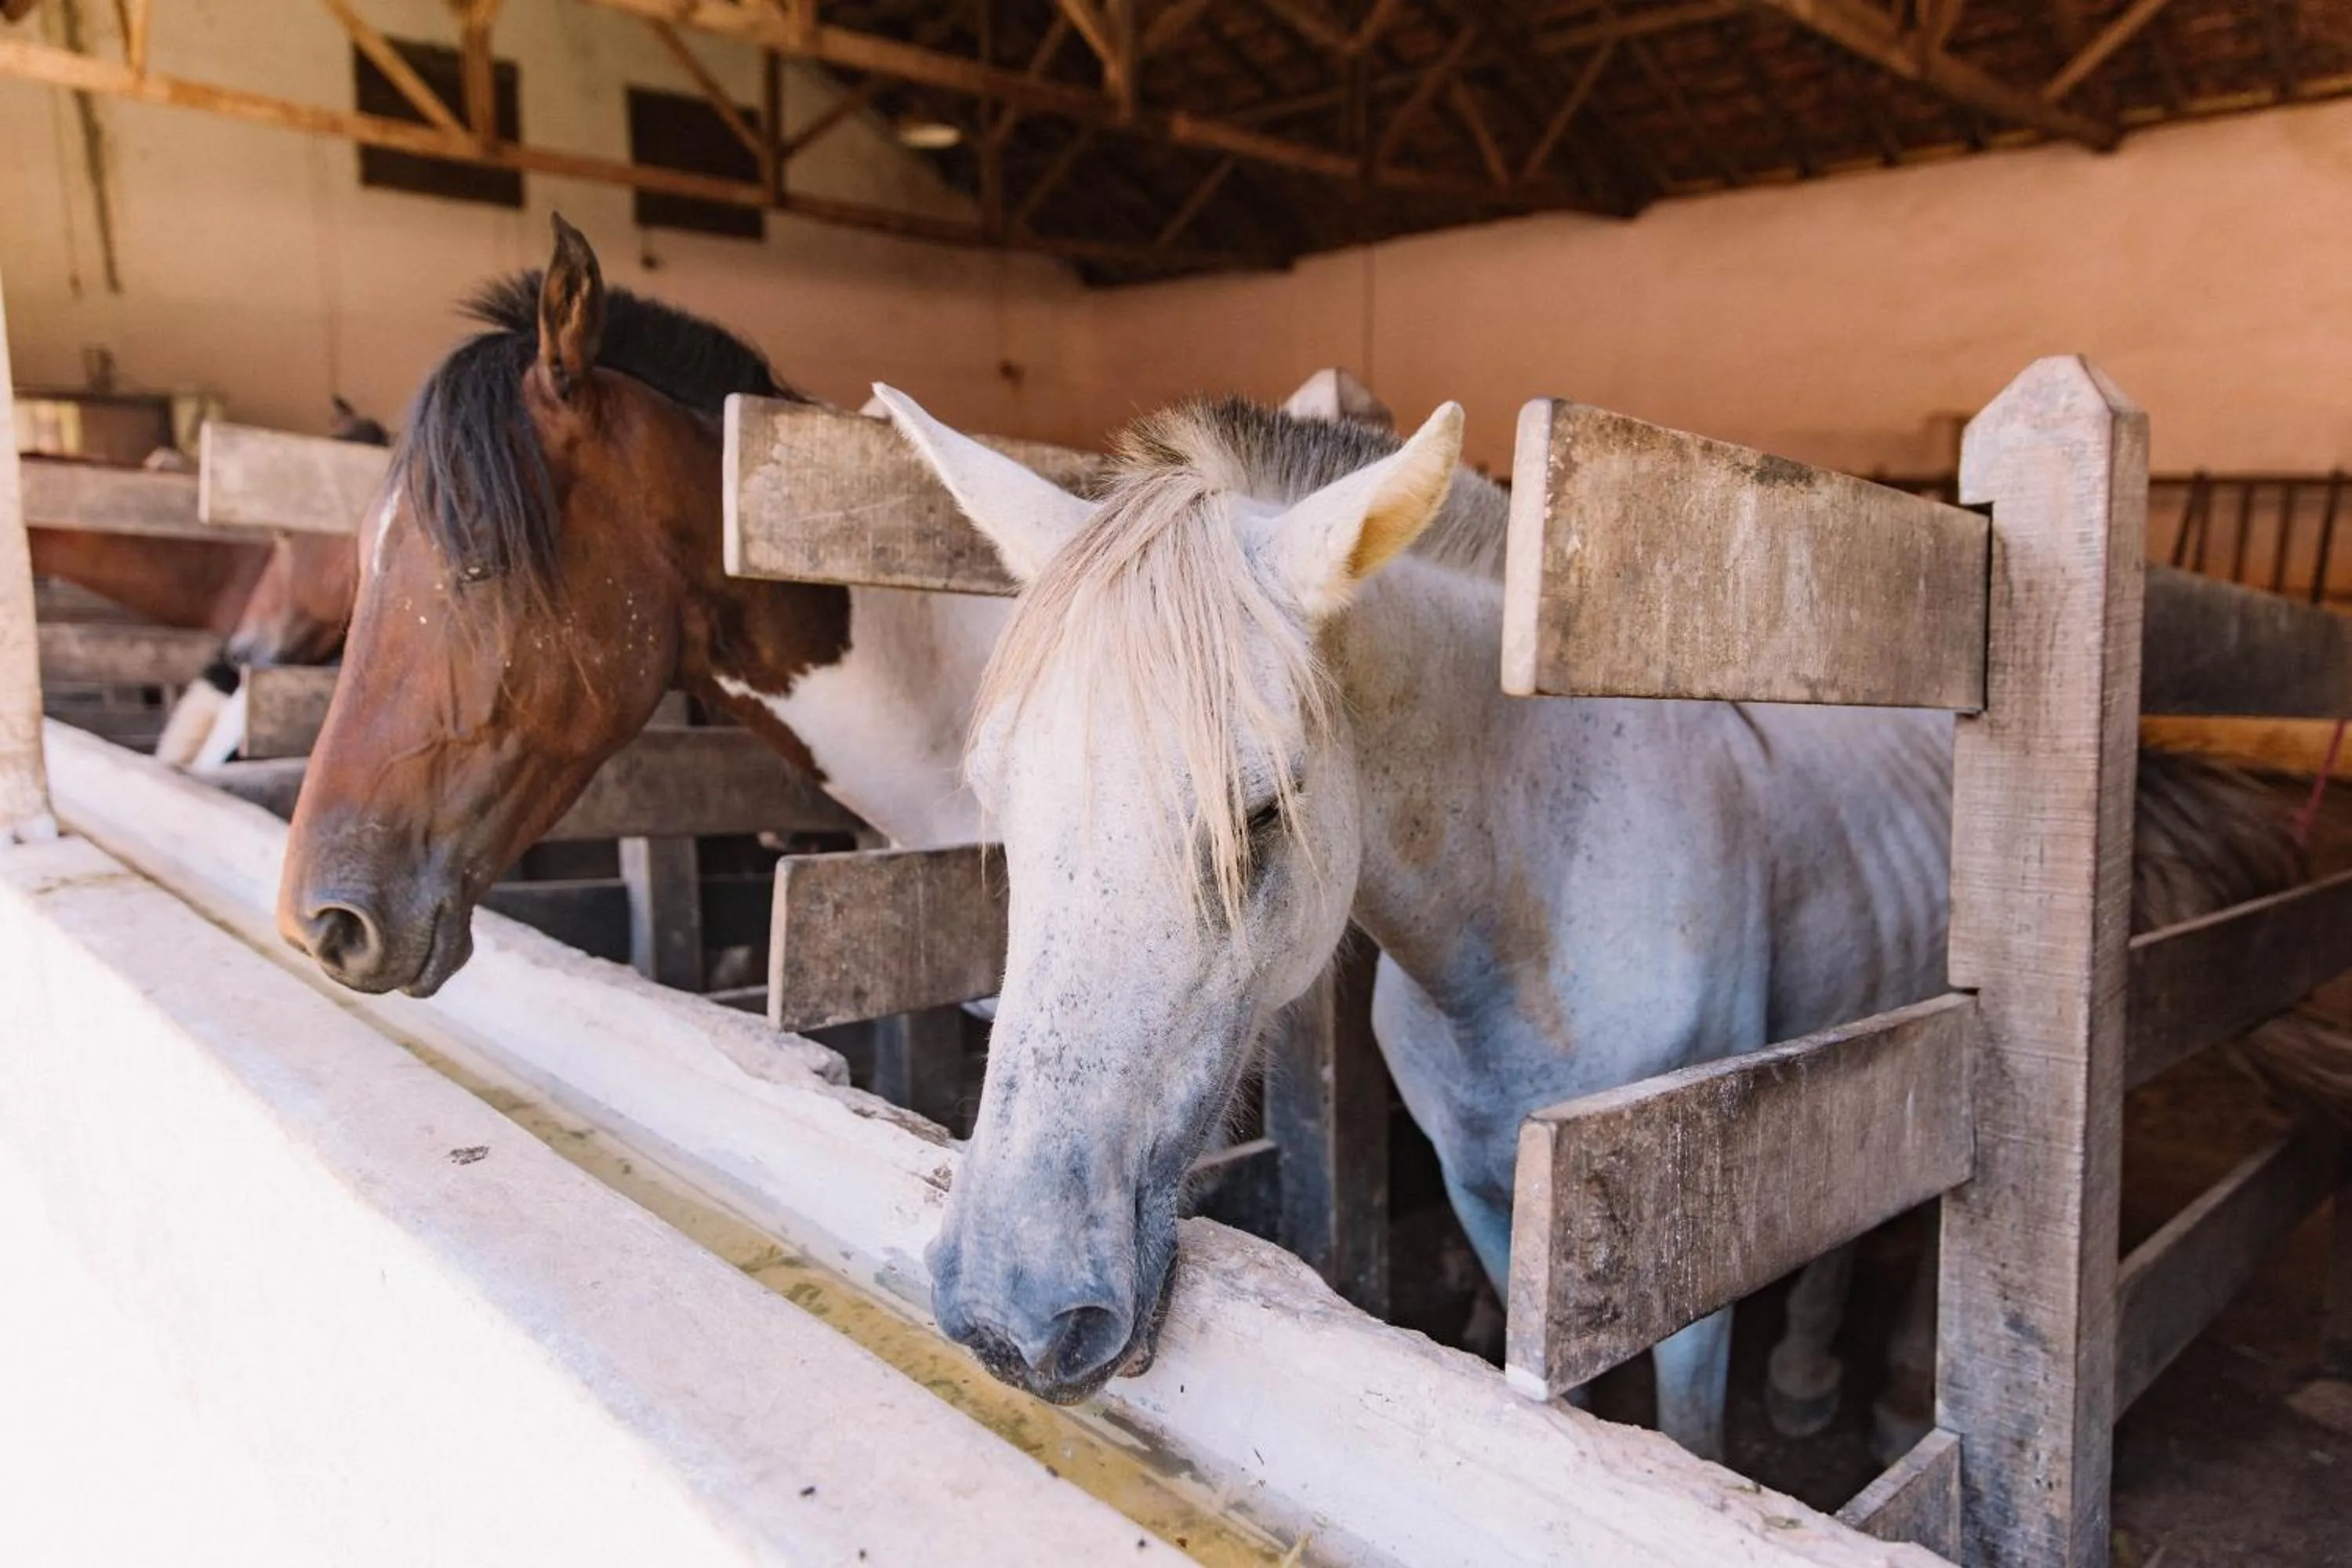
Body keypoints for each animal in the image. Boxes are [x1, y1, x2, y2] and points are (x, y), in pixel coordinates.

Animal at [870, 385, 2352, 1457]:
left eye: (1263, 809)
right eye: (998, 793)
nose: (1011, 1310)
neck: (1525, 921)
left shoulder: (1681, 1245)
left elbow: (1682, 1432)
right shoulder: (1490, 1202)